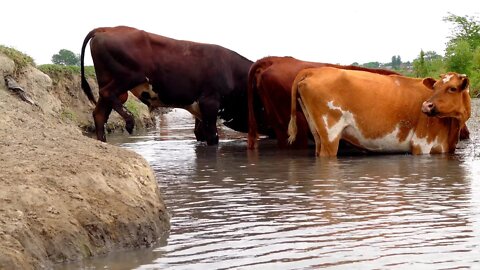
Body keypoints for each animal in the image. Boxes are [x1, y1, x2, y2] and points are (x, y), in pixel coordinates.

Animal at [79, 25, 266, 143]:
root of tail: (107, 28)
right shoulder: (210, 103)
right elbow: (213, 137)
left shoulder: (199, 110)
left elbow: (200, 134)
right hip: (129, 76)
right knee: (106, 93)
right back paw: (130, 120)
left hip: (111, 81)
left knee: (100, 113)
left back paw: (103, 142)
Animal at [286, 66, 470, 157]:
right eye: (435, 87)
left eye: (452, 88)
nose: (426, 106)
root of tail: (314, 70)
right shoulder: (421, 144)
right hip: (330, 133)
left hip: (317, 132)